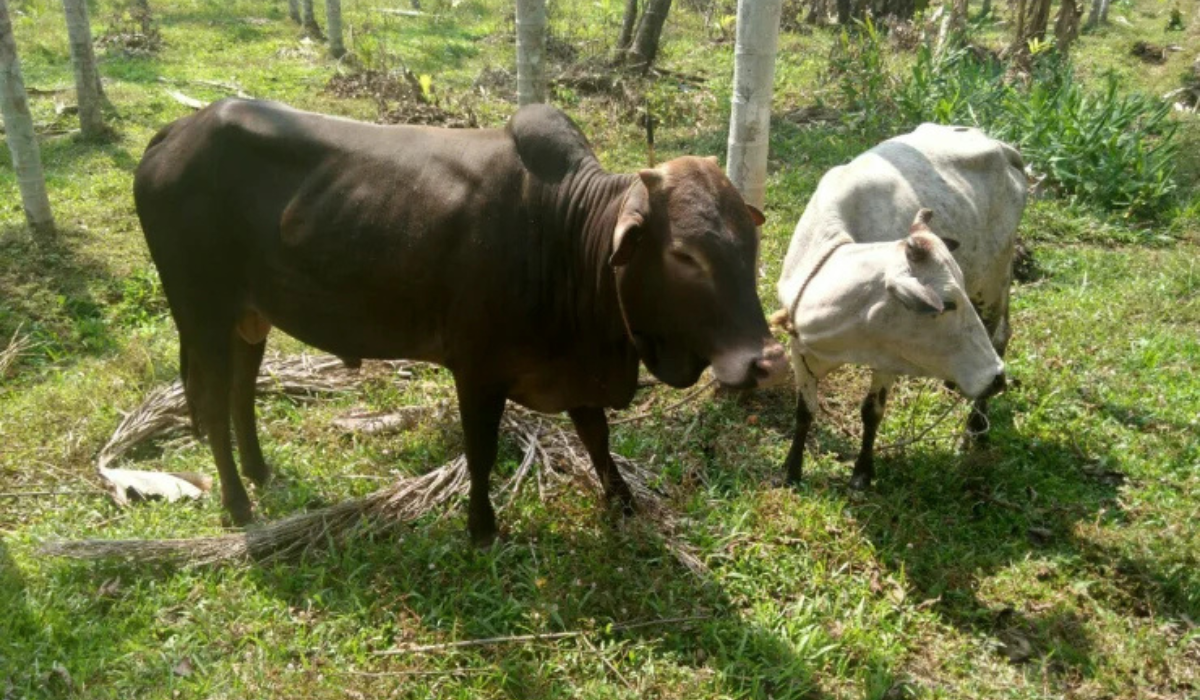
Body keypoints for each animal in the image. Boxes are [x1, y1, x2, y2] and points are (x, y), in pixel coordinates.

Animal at [136, 100, 787, 547]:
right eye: (684, 255)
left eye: (749, 241)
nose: (766, 359)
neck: (566, 239)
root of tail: (175, 132)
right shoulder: (476, 371)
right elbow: (481, 452)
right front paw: (481, 527)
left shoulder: (575, 373)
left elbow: (599, 440)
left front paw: (622, 503)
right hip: (201, 313)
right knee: (213, 406)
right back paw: (239, 504)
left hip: (250, 317)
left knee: (242, 392)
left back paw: (261, 473)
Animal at [772, 124, 1027, 487]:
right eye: (947, 304)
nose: (997, 379)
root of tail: (1001, 146)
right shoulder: (800, 348)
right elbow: (804, 411)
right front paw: (791, 471)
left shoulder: (889, 358)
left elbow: (871, 412)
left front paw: (862, 473)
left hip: (995, 280)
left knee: (1000, 337)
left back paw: (976, 428)